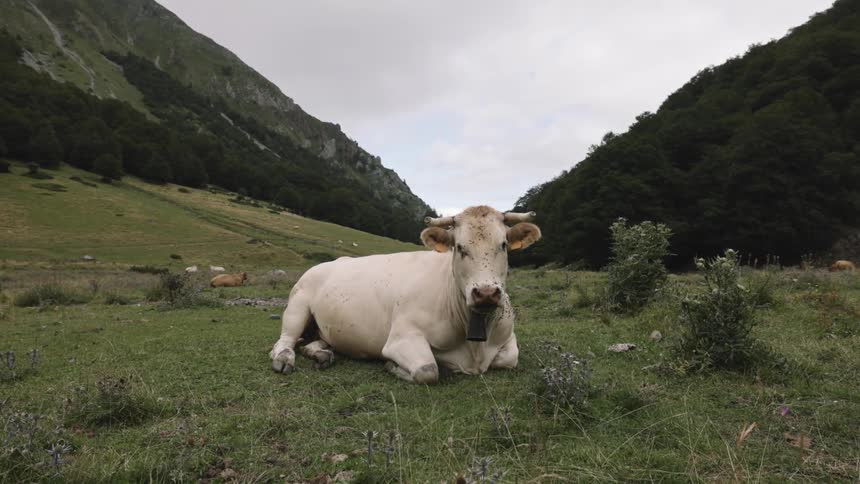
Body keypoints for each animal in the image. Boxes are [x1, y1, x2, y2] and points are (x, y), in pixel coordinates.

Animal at [269, 206, 541, 384]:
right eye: (460, 247)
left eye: (503, 245)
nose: (486, 293)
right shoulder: (401, 337)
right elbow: (427, 370)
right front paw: (392, 366)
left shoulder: (507, 336)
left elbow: (510, 358)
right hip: (297, 306)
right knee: (284, 340)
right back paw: (284, 359)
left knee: (311, 342)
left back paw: (322, 355)